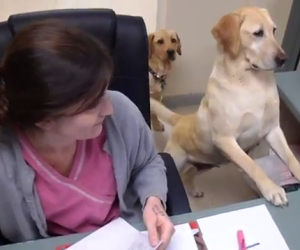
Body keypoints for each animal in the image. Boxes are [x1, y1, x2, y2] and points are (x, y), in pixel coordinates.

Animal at [151, 6, 300, 206]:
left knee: (189, 172)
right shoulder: (227, 140)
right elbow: (253, 165)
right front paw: (272, 188)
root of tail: (182, 119)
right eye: (258, 33)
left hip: (207, 164)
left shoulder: (273, 130)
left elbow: (291, 158)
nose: (284, 58)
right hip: (177, 159)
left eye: (274, 30)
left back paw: (193, 190)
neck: (252, 82)